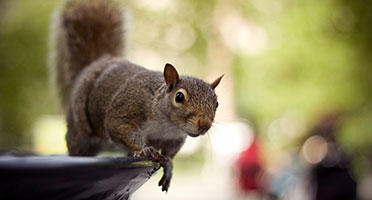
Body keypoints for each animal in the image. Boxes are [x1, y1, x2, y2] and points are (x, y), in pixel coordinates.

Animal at [50, 0, 222, 192]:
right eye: (179, 97)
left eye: (217, 104)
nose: (205, 124)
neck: (166, 124)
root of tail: (98, 62)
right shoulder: (128, 108)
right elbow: (119, 128)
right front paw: (144, 150)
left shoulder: (174, 138)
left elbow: (170, 154)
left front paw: (169, 166)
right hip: (80, 131)